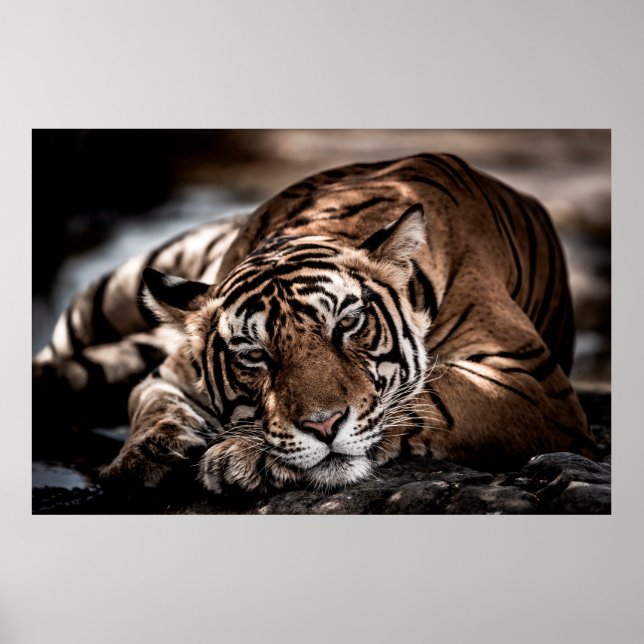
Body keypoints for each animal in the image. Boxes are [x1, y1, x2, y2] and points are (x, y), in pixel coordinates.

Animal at [32, 153, 597, 494]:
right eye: (254, 355)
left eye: (347, 324)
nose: (324, 426)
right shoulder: (170, 372)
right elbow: (150, 403)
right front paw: (143, 457)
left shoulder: (530, 379)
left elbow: (433, 397)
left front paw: (242, 456)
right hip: (122, 285)